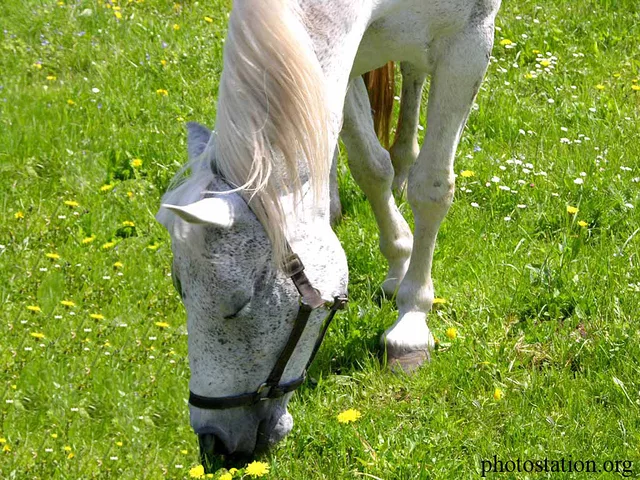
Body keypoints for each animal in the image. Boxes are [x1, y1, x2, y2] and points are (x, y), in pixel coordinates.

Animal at [156, 0, 501, 466]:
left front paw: (411, 322)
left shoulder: (469, 43)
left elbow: (430, 187)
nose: (214, 443)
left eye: (238, 306)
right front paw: (398, 259)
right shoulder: (346, 56)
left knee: (412, 78)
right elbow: (369, 166)